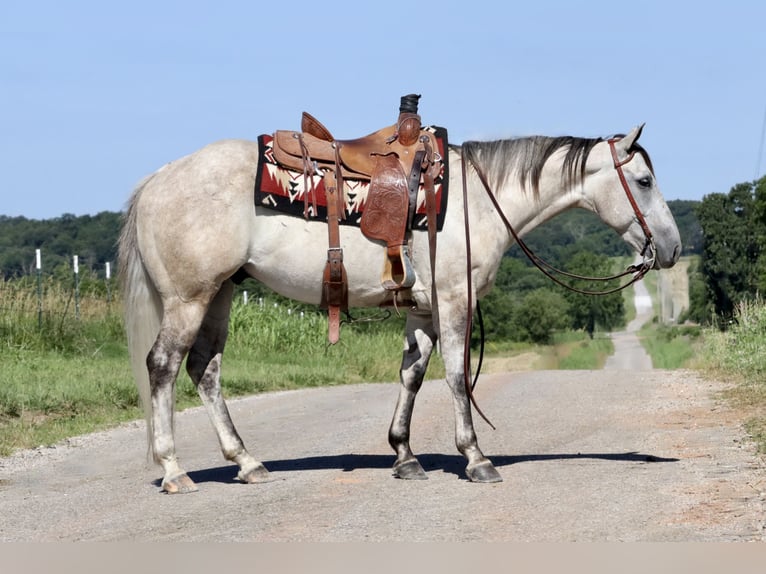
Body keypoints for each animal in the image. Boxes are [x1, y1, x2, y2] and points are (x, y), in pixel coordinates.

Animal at [117, 124, 680, 492]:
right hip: (188, 298)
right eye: (645, 181)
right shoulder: (454, 299)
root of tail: (158, 179)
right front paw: (476, 457)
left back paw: (247, 462)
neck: (478, 199)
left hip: (220, 294)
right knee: (163, 366)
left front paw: (405, 456)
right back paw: (173, 470)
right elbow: (455, 376)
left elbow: (412, 374)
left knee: (204, 369)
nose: (672, 248)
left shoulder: (423, 309)